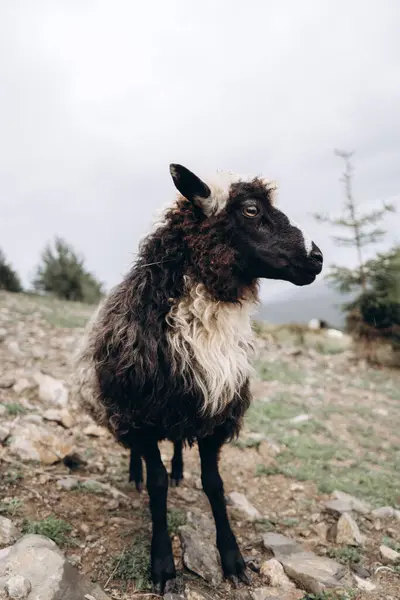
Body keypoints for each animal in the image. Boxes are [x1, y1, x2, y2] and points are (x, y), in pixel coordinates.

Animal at [73, 164, 324, 596]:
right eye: (252, 210)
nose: (317, 258)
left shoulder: (215, 411)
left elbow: (214, 484)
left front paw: (233, 560)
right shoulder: (142, 412)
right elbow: (156, 485)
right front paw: (162, 564)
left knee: (176, 445)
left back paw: (177, 471)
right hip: (126, 406)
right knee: (139, 453)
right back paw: (135, 474)